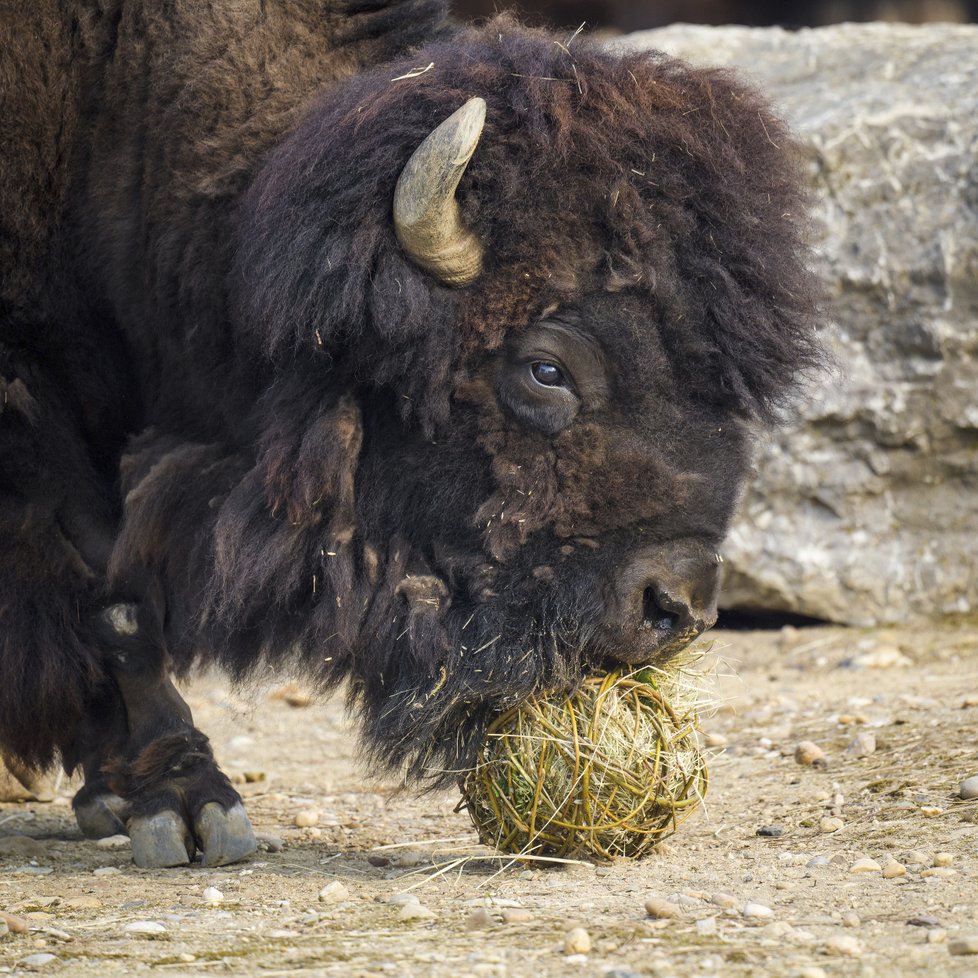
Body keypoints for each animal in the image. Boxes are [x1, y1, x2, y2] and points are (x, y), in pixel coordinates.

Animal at [1, 0, 816, 864]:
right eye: (546, 369)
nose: (676, 606)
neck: (119, 108)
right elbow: (110, 591)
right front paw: (186, 803)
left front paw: (122, 792)